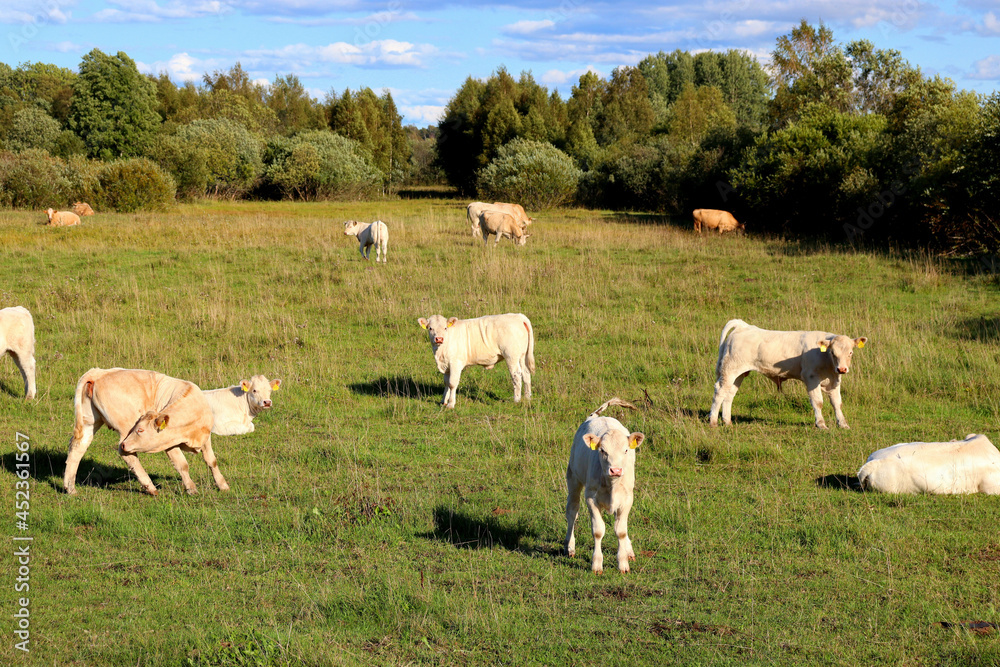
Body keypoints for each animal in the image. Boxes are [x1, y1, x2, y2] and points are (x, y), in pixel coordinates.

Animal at [63, 368, 228, 496]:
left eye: (141, 429)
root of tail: (98, 373)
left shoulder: (205, 437)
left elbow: (211, 461)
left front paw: (223, 485)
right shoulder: (168, 442)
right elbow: (182, 465)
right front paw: (191, 489)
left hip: (90, 421)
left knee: (78, 446)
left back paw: (70, 488)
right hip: (124, 429)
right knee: (127, 454)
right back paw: (150, 488)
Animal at [564, 398, 645, 574]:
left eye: (626, 450)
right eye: (602, 450)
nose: (615, 470)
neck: (611, 485)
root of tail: (595, 416)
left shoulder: (627, 499)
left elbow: (621, 531)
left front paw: (623, 563)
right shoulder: (591, 498)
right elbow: (598, 531)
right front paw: (596, 564)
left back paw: (629, 550)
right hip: (573, 478)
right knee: (572, 511)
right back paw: (569, 546)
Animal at [709, 319, 868, 429]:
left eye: (850, 352)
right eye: (833, 353)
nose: (842, 369)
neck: (826, 362)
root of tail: (744, 326)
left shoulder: (834, 380)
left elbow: (837, 403)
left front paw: (843, 424)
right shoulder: (811, 378)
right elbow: (818, 402)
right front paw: (821, 424)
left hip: (739, 374)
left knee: (729, 394)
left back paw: (727, 421)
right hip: (730, 370)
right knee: (719, 391)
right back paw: (713, 422)